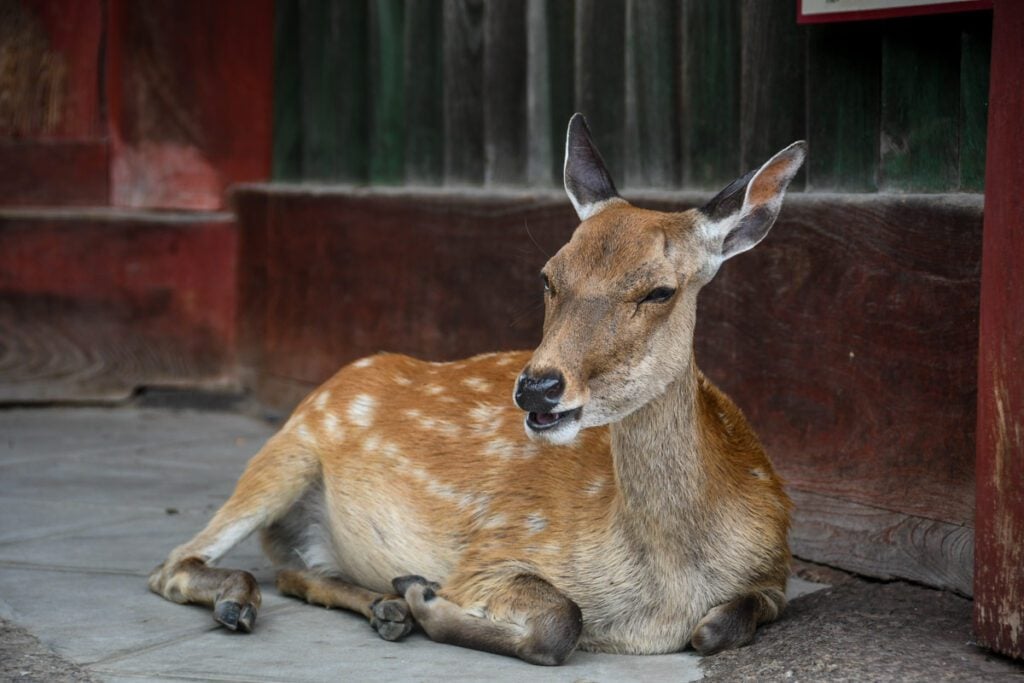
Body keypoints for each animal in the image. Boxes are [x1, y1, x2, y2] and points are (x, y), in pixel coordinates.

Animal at [149, 114, 806, 663]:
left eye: (659, 291)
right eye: (548, 275)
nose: (538, 387)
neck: (661, 597)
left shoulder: (775, 574)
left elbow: (717, 627)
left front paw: (410, 598)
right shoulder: (491, 552)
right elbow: (563, 621)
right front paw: (425, 596)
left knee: (290, 570)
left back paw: (381, 608)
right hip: (285, 453)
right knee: (174, 564)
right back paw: (252, 599)